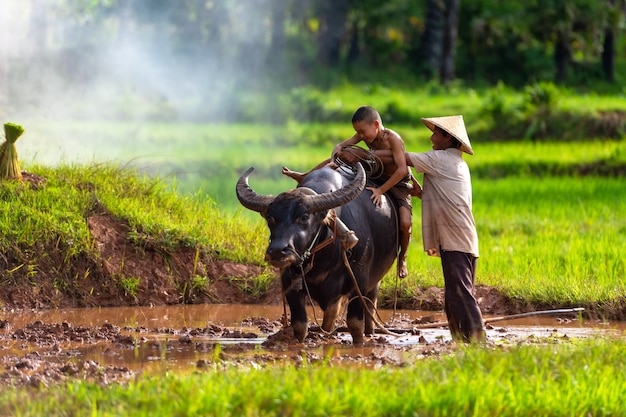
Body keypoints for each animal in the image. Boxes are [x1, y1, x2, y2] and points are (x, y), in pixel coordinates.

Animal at [236, 162, 398, 342]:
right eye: (271, 218)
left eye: (304, 217)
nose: (278, 251)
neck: (323, 260)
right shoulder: (290, 283)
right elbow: (300, 325)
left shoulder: (360, 281)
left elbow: (355, 324)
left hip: (375, 281)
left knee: (369, 307)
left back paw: (370, 333)